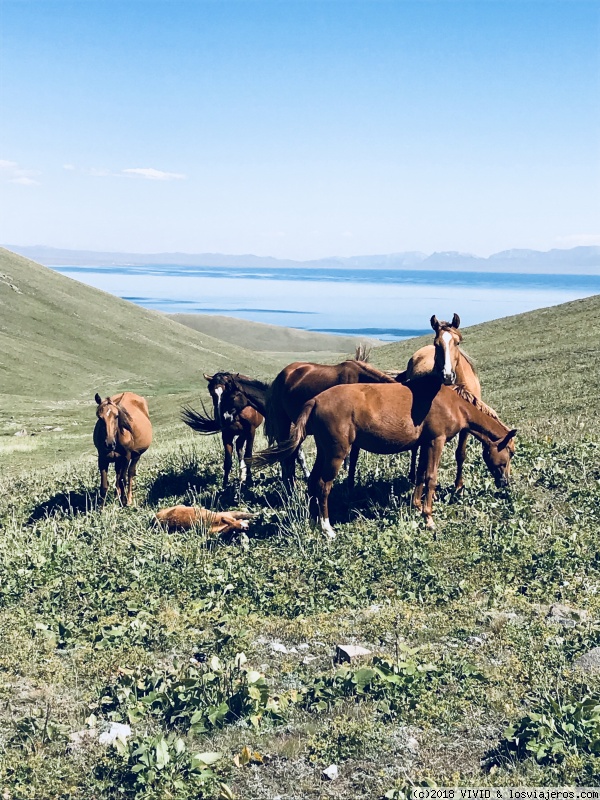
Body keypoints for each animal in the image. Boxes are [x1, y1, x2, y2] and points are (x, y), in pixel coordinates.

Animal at [253, 378, 516, 536]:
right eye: (510, 453)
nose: (505, 482)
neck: (453, 404)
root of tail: (315, 400)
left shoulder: (423, 443)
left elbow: (420, 475)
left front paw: (416, 506)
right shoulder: (436, 441)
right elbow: (431, 477)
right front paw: (429, 518)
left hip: (325, 450)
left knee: (312, 482)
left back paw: (313, 521)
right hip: (336, 453)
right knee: (323, 485)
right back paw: (327, 528)